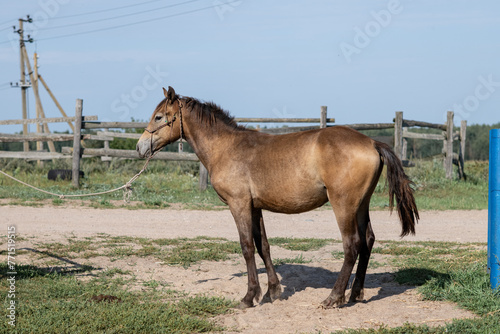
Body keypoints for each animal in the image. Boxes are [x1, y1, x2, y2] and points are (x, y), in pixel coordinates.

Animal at [136, 86, 418, 308]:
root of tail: (372, 142)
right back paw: (355, 294)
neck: (226, 147)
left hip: (344, 204)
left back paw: (334, 298)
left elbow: (247, 247)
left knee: (353, 245)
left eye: (159, 116)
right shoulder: (255, 207)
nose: (140, 147)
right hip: (361, 204)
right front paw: (273, 292)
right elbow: (263, 246)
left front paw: (249, 297)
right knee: (368, 241)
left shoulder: (239, 205)